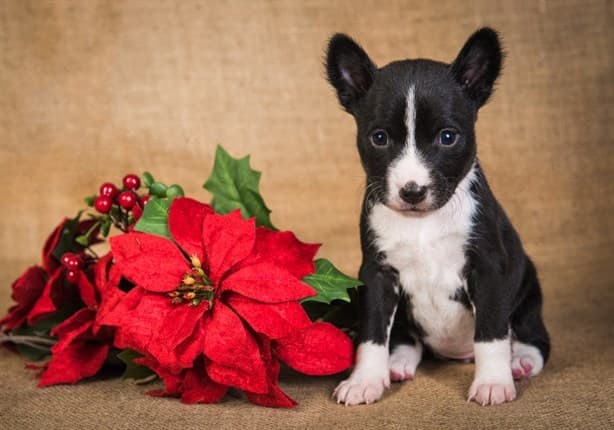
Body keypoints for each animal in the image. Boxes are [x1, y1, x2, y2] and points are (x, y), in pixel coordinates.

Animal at [328, 29, 552, 406]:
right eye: (379, 138)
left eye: (447, 137)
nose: (412, 191)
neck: (423, 223)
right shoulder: (377, 274)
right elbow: (372, 334)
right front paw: (364, 380)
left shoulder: (489, 269)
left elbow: (491, 333)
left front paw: (493, 381)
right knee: (406, 339)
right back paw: (397, 363)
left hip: (528, 293)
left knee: (534, 338)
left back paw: (520, 361)